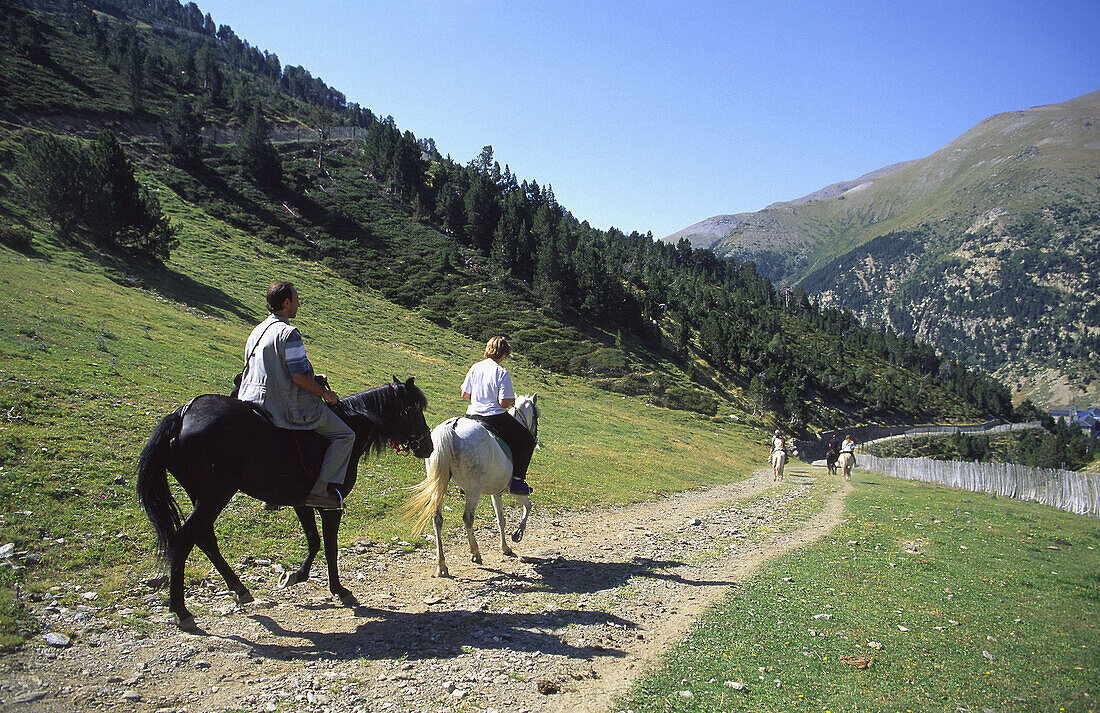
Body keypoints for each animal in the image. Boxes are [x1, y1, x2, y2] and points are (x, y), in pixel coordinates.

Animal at [135, 378, 431, 629]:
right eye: (414, 409)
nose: (427, 445)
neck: (353, 425)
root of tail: (182, 415)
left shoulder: (303, 502)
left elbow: (313, 541)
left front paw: (294, 576)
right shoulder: (330, 505)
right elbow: (330, 547)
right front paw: (339, 590)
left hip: (202, 496)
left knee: (205, 539)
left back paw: (239, 590)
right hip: (214, 496)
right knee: (183, 540)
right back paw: (181, 610)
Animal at [407, 396, 539, 580]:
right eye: (536, 415)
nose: (535, 436)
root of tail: (450, 427)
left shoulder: (496, 493)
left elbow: (501, 519)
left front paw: (505, 547)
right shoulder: (512, 491)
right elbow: (527, 506)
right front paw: (518, 533)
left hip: (439, 485)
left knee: (437, 519)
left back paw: (442, 565)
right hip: (473, 487)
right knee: (468, 518)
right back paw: (475, 553)